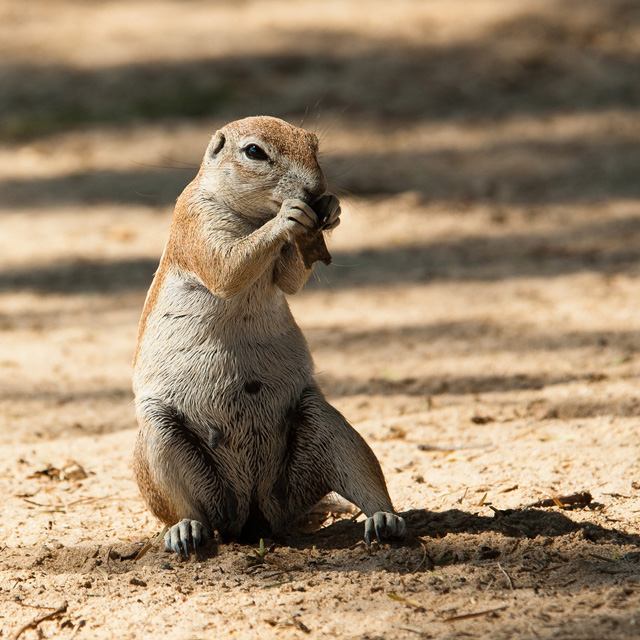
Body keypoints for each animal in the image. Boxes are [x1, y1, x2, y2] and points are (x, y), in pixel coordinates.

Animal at [132, 115, 404, 556]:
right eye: (254, 152)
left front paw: (331, 208)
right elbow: (227, 268)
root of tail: (253, 515)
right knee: (186, 510)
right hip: (161, 442)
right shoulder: (196, 220)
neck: (254, 216)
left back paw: (384, 518)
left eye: (313, 143)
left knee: (359, 475)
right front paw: (288, 217)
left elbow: (290, 280)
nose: (315, 190)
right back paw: (186, 531)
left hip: (323, 425)